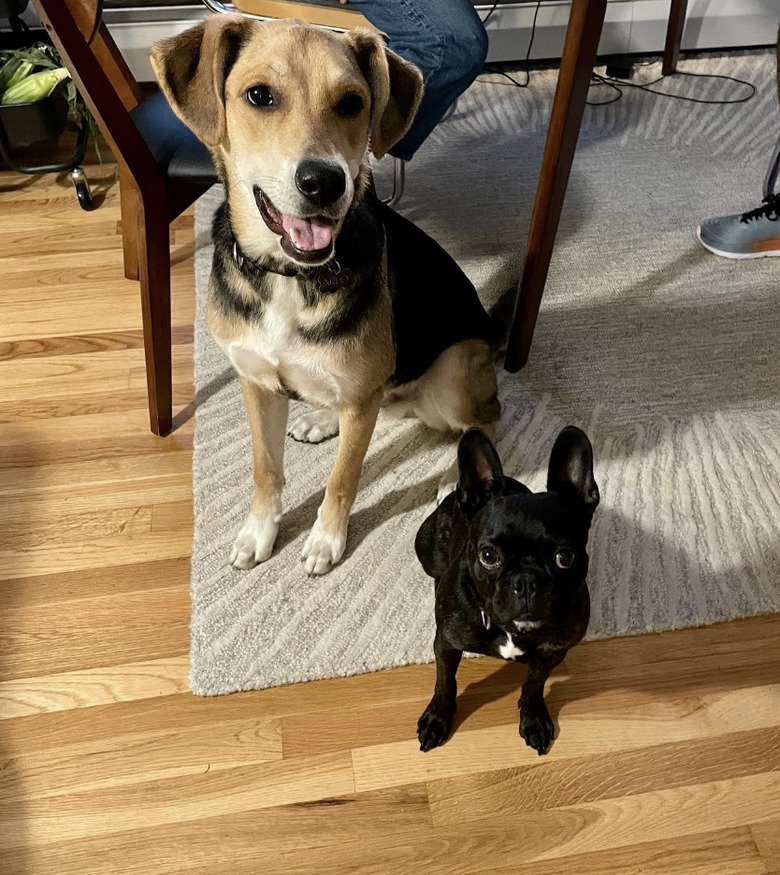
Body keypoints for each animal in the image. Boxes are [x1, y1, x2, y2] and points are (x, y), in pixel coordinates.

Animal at [152, 17, 500, 580]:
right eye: (259, 96)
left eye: (352, 102)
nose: (324, 181)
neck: (290, 275)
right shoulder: (256, 382)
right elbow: (265, 470)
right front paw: (259, 531)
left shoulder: (361, 401)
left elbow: (342, 480)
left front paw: (325, 540)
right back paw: (321, 419)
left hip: (453, 371)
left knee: (488, 417)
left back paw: (456, 476)